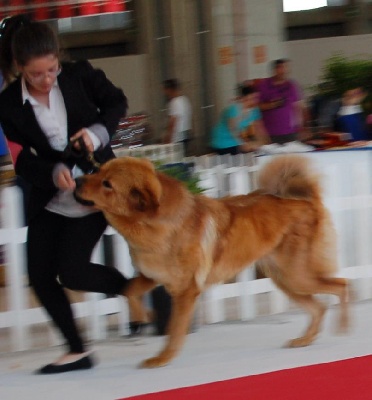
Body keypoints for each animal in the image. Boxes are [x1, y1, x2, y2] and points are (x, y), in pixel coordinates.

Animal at [75, 155, 348, 368]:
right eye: (98, 170)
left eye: (107, 184)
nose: (77, 180)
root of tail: (307, 201)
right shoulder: (151, 275)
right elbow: (129, 290)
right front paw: (142, 317)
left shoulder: (185, 291)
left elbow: (174, 329)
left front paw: (163, 357)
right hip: (286, 280)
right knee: (319, 307)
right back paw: (306, 339)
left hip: (297, 276)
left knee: (342, 286)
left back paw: (344, 325)